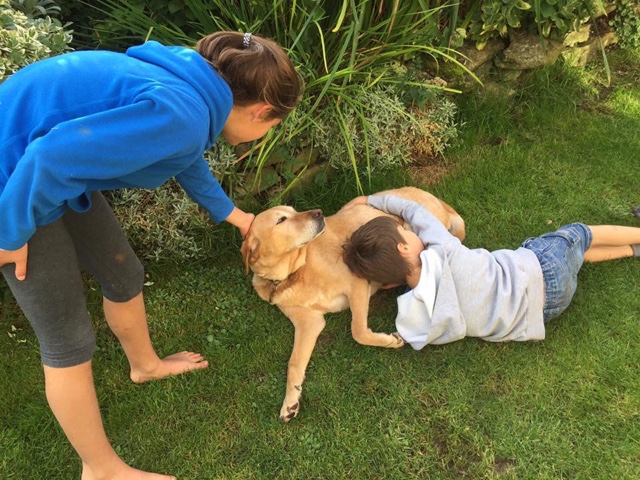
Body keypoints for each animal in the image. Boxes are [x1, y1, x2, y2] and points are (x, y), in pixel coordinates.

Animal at [240, 187, 465, 422]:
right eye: (282, 219)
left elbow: (358, 331)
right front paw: (290, 401)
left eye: (294, 210)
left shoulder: (356, 284)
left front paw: (391, 340)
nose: (318, 213)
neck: (294, 272)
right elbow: (294, 363)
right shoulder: (309, 323)